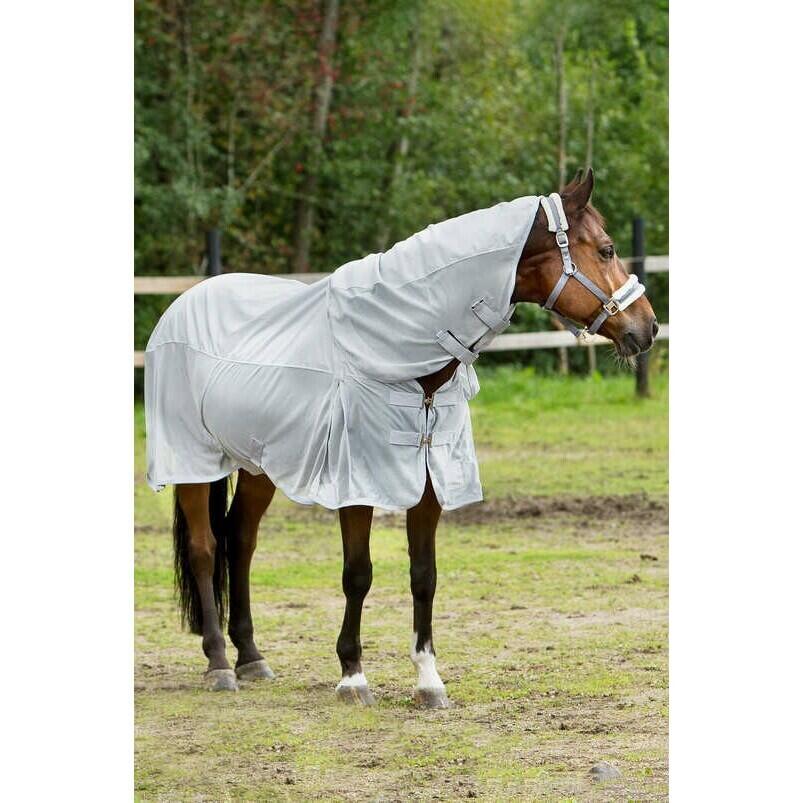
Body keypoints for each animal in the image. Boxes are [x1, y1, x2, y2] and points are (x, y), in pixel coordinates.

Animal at [144, 169, 657, 707]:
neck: (399, 357)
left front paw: (429, 680)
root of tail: (183, 303)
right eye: (607, 249)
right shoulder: (357, 485)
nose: (649, 327)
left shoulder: (429, 483)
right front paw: (352, 676)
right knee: (205, 549)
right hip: (192, 460)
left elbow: (423, 576)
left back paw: (251, 657)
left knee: (240, 542)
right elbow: (358, 574)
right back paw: (219, 663)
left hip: (258, 463)